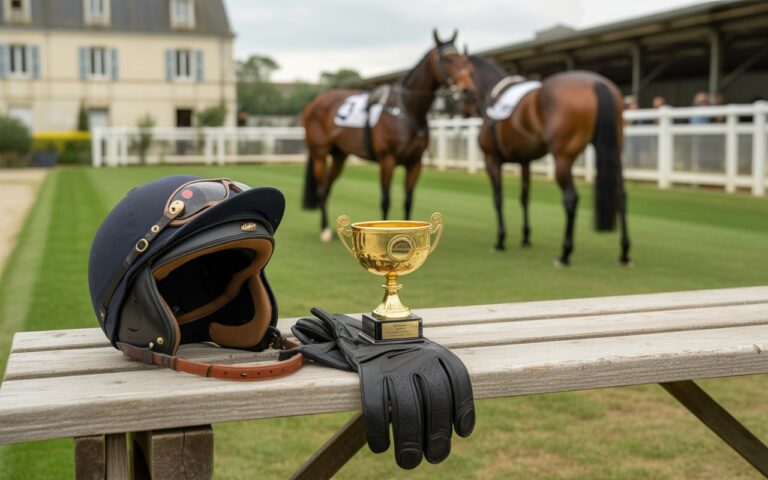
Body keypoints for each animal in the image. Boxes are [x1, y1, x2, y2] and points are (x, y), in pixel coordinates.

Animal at [302, 30, 476, 241]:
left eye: (465, 60)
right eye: (447, 59)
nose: (468, 89)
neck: (406, 110)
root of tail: (314, 104)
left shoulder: (415, 163)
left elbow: (408, 200)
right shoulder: (387, 160)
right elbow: (386, 200)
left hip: (339, 156)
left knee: (327, 188)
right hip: (319, 154)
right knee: (321, 189)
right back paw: (325, 230)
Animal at [468, 55, 631, 266]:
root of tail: (597, 82)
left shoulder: (492, 160)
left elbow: (498, 199)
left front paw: (501, 241)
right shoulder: (525, 161)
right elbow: (524, 198)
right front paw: (525, 238)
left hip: (562, 159)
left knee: (571, 199)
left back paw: (565, 254)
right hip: (614, 151)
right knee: (621, 195)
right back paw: (624, 253)